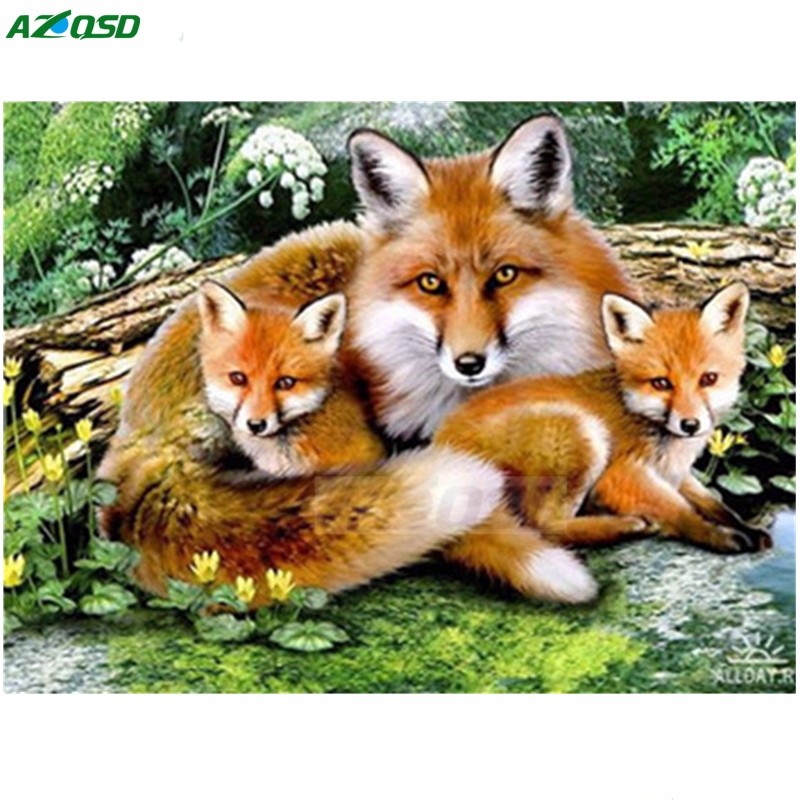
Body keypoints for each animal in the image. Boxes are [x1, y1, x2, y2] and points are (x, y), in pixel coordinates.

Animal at [435, 282, 772, 555]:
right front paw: (717, 535)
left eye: (708, 379)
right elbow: (681, 512)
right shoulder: (620, 475)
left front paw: (745, 527)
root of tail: (440, 445)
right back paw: (625, 526)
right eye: (661, 383)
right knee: (544, 527)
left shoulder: (675, 474)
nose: (690, 425)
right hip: (583, 434)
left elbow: (714, 503)